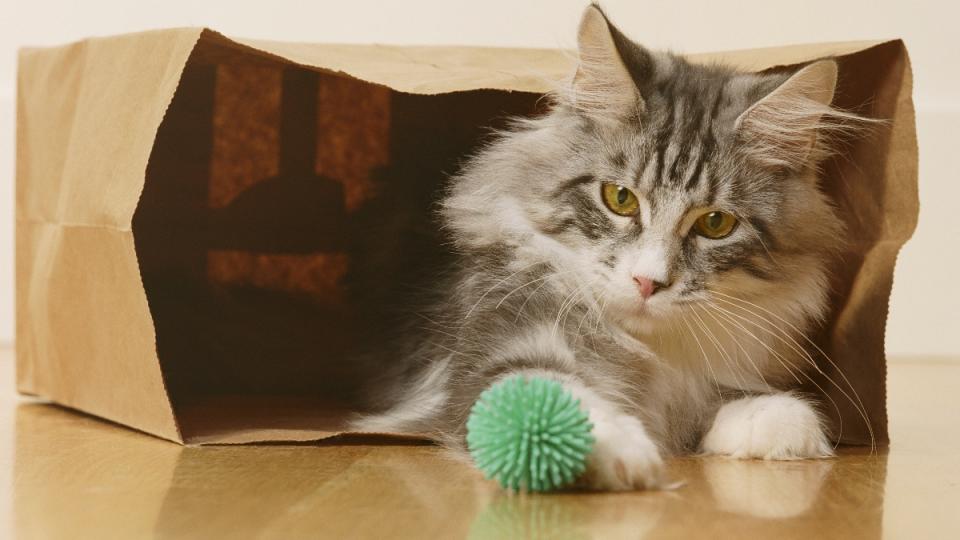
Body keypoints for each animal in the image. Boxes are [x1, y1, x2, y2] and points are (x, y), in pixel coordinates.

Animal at [350, 4, 864, 492]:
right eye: (620, 198)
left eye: (715, 224)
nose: (648, 282)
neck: (647, 348)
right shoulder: (495, 356)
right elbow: (547, 396)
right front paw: (622, 453)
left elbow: (728, 398)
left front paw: (779, 423)